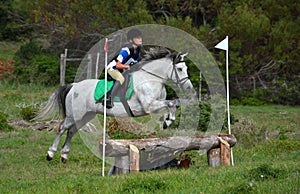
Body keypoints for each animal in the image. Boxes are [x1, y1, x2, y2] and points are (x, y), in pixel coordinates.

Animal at [34, 47, 195, 164]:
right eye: (180, 69)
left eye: (186, 68)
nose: (189, 89)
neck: (151, 78)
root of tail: (73, 86)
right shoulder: (148, 106)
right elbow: (172, 103)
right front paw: (168, 121)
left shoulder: (155, 105)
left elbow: (173, 104)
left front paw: (167, 120)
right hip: (75, 114)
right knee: (62, 128)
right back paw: (50, 153)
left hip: (86, 115)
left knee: (72, 131)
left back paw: (64, 156)